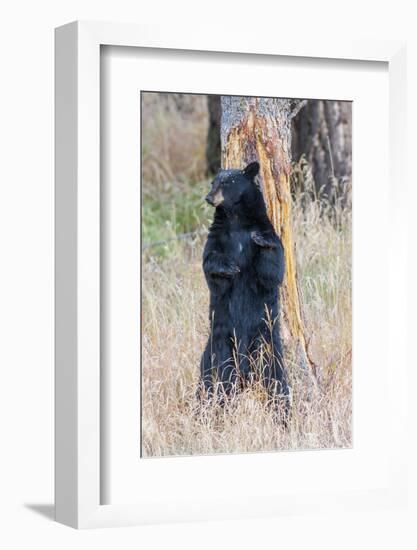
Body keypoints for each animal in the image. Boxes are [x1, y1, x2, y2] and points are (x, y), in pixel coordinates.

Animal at [199, 162, 290, 412]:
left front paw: (262, 240)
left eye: (227, 182)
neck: (236, 220)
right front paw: (229, 267)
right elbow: (210, 266)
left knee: (276, 380)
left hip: (266, 344)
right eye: (213, 182)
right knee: (213, 380)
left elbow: (272, 270)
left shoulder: (267, 231)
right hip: (219, 345)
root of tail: (245, 373)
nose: (209, 197)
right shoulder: (217, 237)